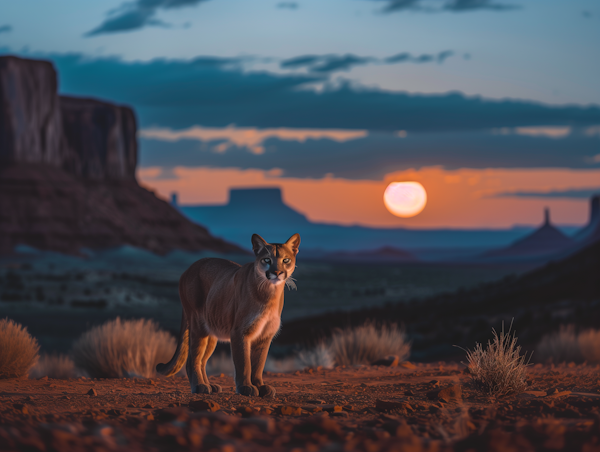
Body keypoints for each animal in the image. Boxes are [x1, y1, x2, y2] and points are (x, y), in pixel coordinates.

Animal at [156, 235, 300, 398]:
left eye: (286, 260)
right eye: (267, 260)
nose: (277, 272)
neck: (270, 294)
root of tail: (187, 270)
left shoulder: (265, 336)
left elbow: (258, 364)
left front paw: (260, 386)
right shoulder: (239, 332)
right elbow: (244, 363)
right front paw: (246, 387)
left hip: (211, 332)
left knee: (202, 360)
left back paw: (210, 385)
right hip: (198, 325)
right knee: (193, 359)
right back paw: (200, 386)